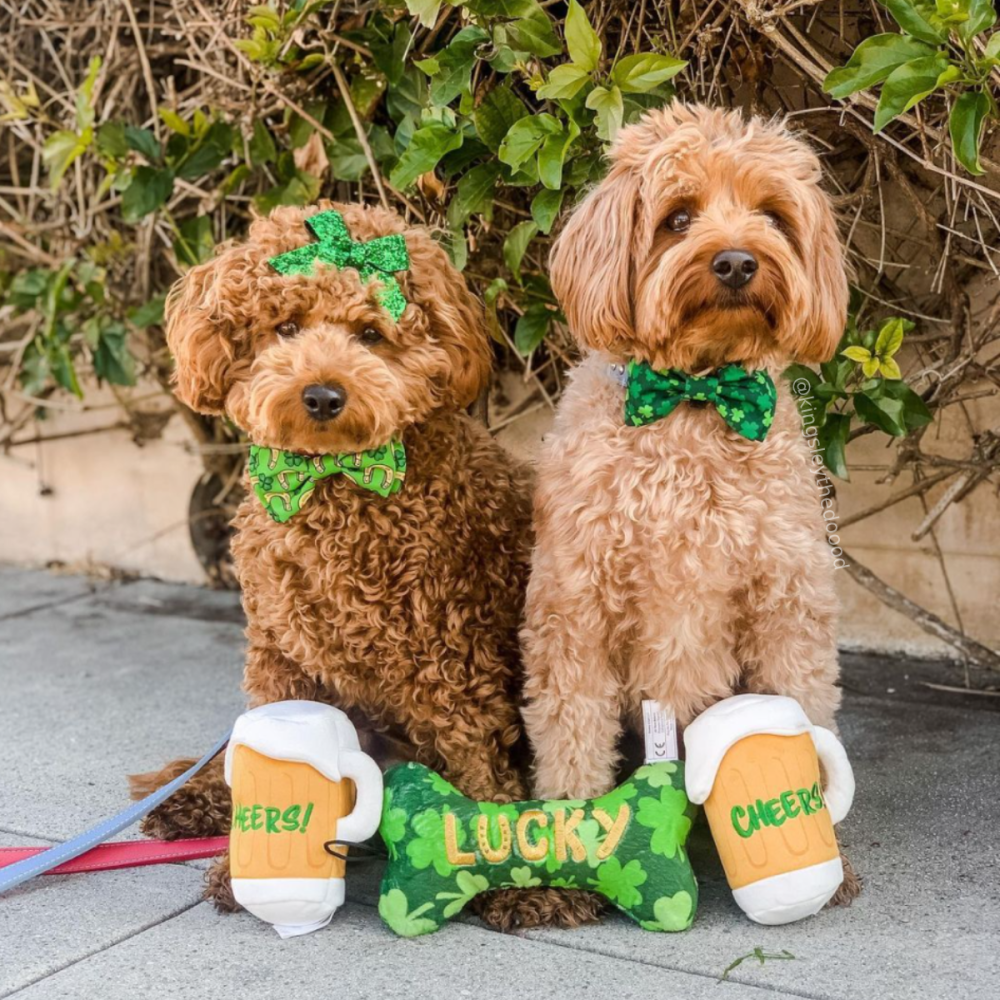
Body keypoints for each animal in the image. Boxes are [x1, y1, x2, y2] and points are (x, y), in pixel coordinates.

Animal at [133, 201, 600, 928]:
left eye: (371, 335)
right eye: (285, 327)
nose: (323, 395)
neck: (337, 488)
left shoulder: (450, 659)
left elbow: (479, 769)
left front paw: (515, 877)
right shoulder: (282, 657)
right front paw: (244, 865)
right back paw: (193, 799)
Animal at [524, 107, 860, 908]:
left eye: (773, 216)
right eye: (677, 218)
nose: (736, 262)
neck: (695, 401)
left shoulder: (786, 599)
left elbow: (805, 709)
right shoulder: (575, 608)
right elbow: (571, 732)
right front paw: (570, 851)